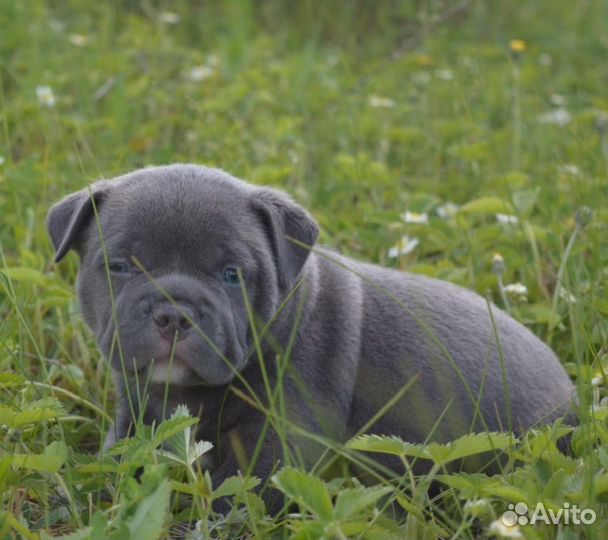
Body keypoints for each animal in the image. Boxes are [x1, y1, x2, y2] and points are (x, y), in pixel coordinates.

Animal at [47, 163, 576, 498]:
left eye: (232, 274)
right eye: (119, 266)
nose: (174, 312)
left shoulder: (283, 432)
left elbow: (241, 491)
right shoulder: (137, 409)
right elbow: (121, 454)